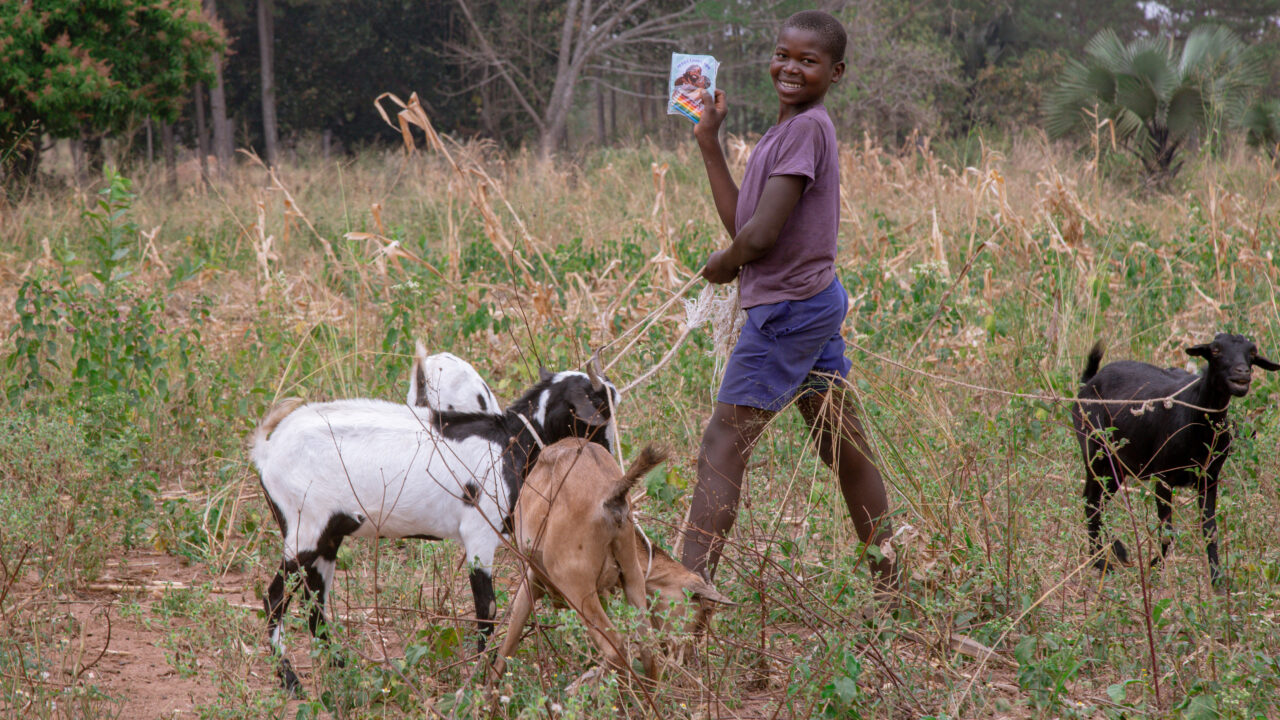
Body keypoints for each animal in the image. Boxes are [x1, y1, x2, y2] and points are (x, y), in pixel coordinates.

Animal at [250, 348, 619, 691]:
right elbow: (487, 610)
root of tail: (267, 451)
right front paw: (480, 678)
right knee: (274, 600)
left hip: (329, 535)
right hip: (303, 532)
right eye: (600, 409)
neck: (509, 442)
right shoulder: (479, 535)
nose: (610, 460)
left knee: (316, 606)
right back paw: (290, 680)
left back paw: (344, 672)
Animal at [491, 438, 732, 676]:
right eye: (702, 612)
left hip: (575, 587)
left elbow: (508, 642)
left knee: (614, 647)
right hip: (630, 574)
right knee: (647, 647)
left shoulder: (533, 578)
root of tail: (610, 495)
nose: (688, 657)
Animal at [1070, 333, 1280, 586]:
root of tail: (1089, 381)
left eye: (1252, 352)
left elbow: (1210, 531)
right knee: (1091, 502)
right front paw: (1154, 570)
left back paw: (1105, 557)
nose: (1242, 373)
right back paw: (1107, 560)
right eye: (1215, 350)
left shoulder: (1209, 477)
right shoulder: (1163, 477)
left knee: (1097, 502)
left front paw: (1216, 580)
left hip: (1118, 468)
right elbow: (1167, 532)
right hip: (1097, 454)